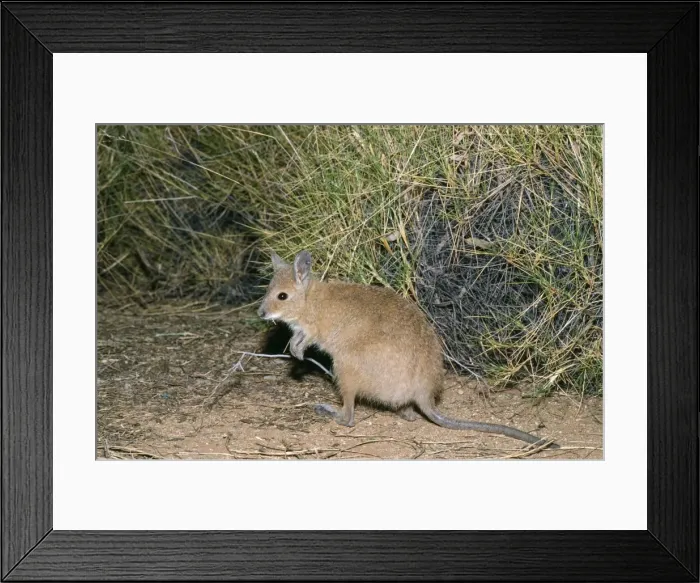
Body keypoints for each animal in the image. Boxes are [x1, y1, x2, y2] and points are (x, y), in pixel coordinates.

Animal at [257, 250, 559, 449]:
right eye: (268, 290)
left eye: (282, 296)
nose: (261, 313)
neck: (309, 300)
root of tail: (424, 395)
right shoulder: (302, 330)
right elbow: (296, 340)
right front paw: (294, 353)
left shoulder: (313, 330)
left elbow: (305, 339)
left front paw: (297, 354)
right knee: (408, 414)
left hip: (345, 366)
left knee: (350, 417)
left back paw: (329, 412)